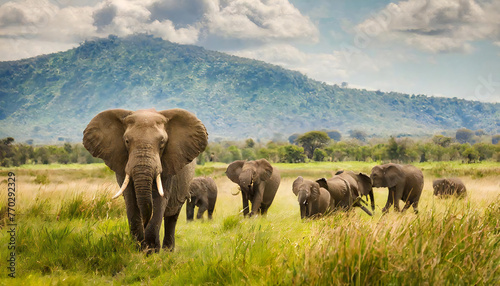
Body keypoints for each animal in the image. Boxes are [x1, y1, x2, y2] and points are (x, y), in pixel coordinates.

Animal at [83, 108, 207, 252]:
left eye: (162, 142)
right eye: (126, 141)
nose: (145, 221)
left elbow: (160, 199)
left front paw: (150, 251)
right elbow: (131, 200)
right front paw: (137, 249)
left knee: (172, 217)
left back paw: (167, 251)